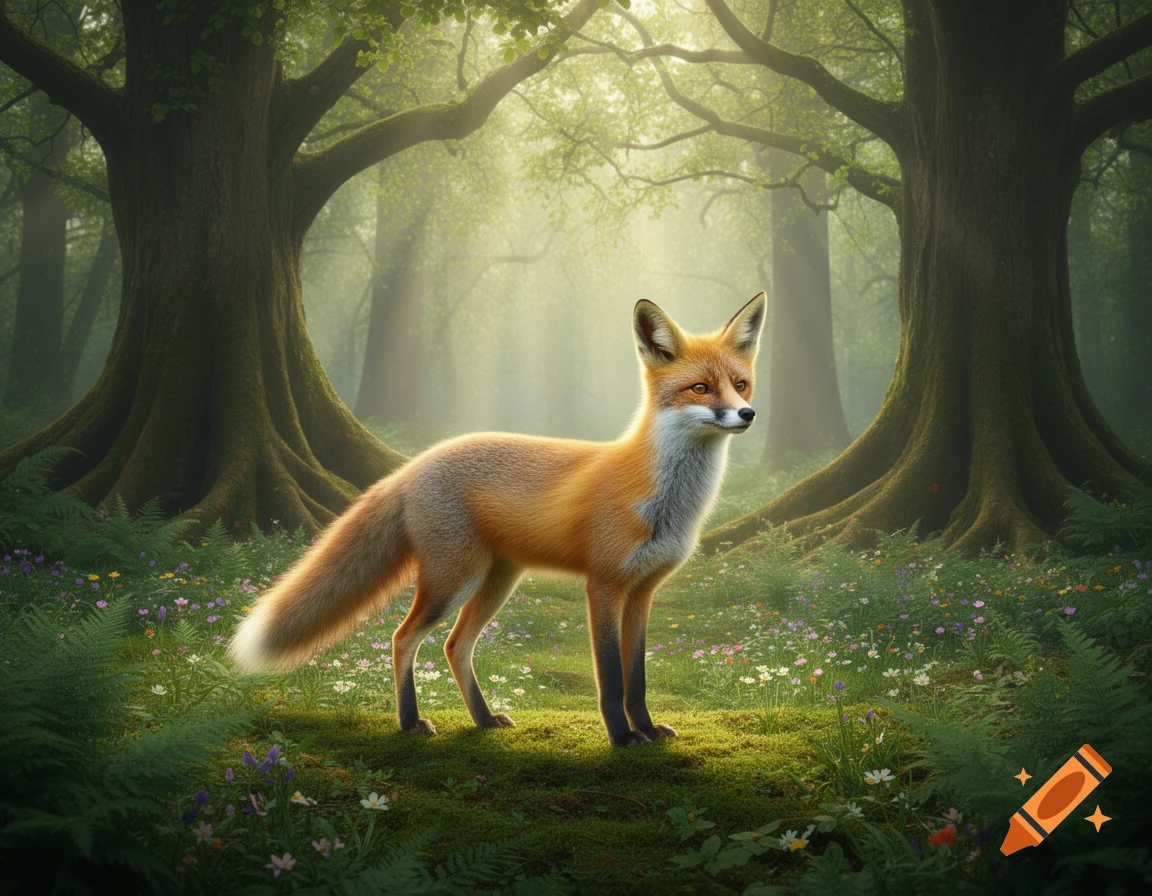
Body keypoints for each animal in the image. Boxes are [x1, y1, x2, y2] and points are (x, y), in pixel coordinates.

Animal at [229, 293, 766, 746]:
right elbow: (611, 678)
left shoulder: (642, 593)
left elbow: (636, 679)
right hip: (453, 580)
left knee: (454, 646)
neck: (666, 502)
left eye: (741, 384)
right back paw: (409, 722)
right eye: (700, 388)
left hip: (495, 583)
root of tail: (414, 463)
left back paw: (483, 719)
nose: (748, 414)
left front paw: (648, 730)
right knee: (404, 638)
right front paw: (621, 738)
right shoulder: (604, 585)